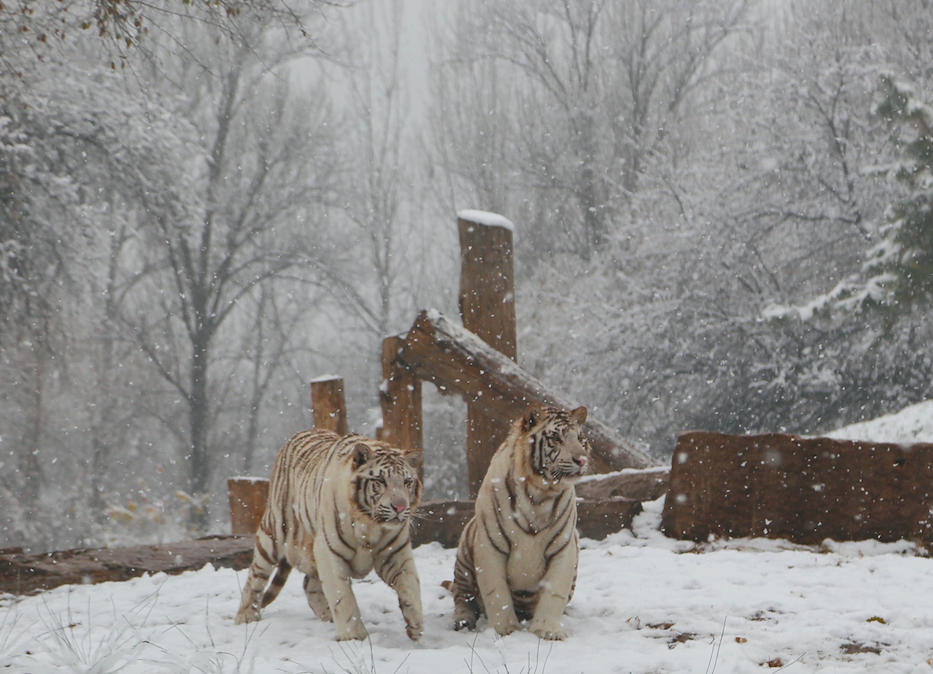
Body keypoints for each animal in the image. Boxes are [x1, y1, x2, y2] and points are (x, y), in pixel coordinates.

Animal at [235, 428, 424, 636]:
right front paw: (354, 635)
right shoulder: (329, 551)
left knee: (309, 584)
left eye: (407, 482)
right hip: (274, 533)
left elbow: (410, 583)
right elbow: (343, 597)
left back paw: (328, 616)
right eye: (380, 480)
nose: (400, 507)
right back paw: (245, 617)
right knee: (255, 577)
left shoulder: (395, 552)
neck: (370, 525)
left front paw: (416, 625)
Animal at [446, 402, 588, 636]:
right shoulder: (489, 545)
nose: (581, 459)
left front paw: (547, 631)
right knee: (462, 596)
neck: (540, 492)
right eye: (556, 438)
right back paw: (463, 621)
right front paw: (505, 629)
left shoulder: (564, 545)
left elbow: (555, 591)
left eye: (580, 438)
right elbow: (496, 591)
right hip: (466, 549)